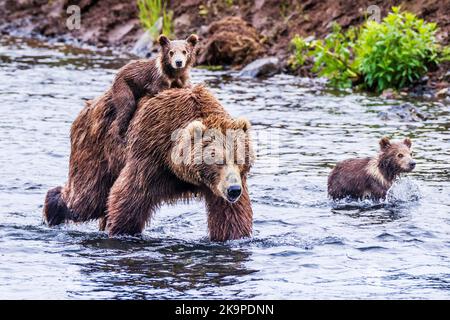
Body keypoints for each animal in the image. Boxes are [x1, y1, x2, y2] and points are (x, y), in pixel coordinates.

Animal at [44, 84, 255, 241]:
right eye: (217, 160)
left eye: (239, 159)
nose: (233, 190)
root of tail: (90, 105)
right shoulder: (150, 153)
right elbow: (129, 197)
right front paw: (122, 230)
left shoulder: (220, 186)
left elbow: (230, 215)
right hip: (97, 149)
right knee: (87, 199)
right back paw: (52, 210)